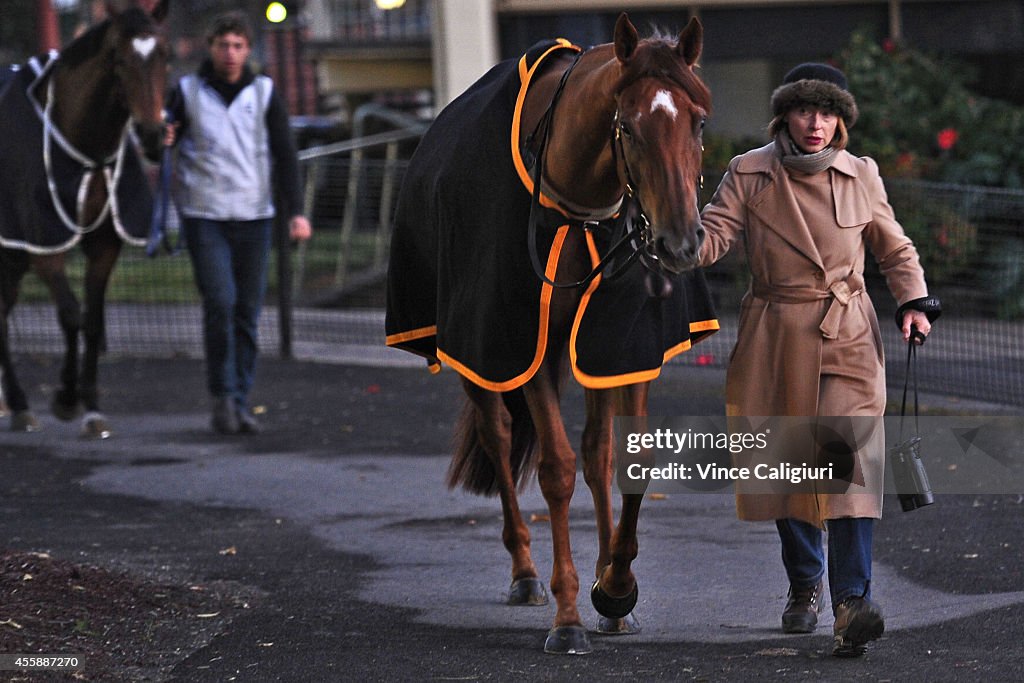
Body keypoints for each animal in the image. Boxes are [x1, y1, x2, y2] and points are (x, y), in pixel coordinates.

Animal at [0, 1, 169, 438]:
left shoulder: (105, 245)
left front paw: (92, 408)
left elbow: (92, 320)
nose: (151, 135)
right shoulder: (44, 244)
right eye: (119, 59)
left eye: (164, 55)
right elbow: (71, 315)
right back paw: (20, 404)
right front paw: (65, 397)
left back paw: (18, 404)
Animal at [387, 13, 716, 655]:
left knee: (591, 451)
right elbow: (557, 469)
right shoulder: (522, 341)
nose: (679, 243)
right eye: (628, 127)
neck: (579, 205)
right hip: (478, 353)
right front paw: (569, 616)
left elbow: (622, 458)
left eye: (697, 119)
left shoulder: (620, 346)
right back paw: (525, 572)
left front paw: (615, 589)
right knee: (496, 434)